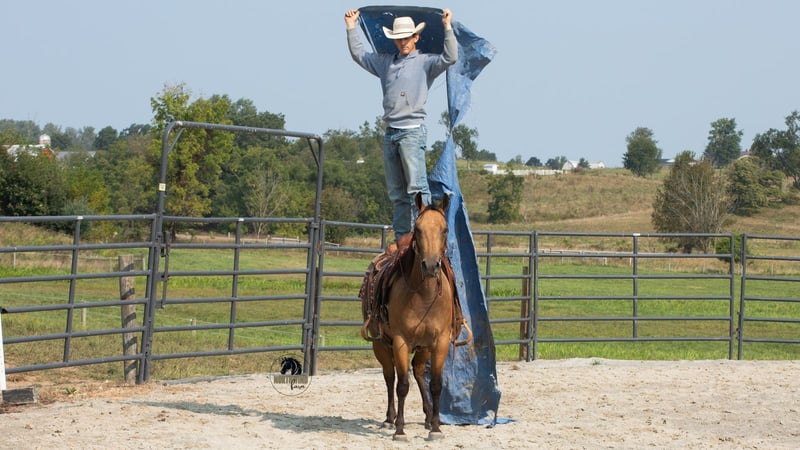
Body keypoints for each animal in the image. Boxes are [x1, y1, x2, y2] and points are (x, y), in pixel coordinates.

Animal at [360, 193, 472, 441]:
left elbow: (436, 384)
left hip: (424, 347)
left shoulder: (440, 342)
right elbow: (402, 384)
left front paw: (436, 428)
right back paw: (389, 419)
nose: (430, 265)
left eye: (445, 229)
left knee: (419, 372)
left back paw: (429, 416)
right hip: (381, 344)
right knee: (390, 376)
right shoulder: (400, 341)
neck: (424, 295)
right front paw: (400, 430)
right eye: (418, 229)